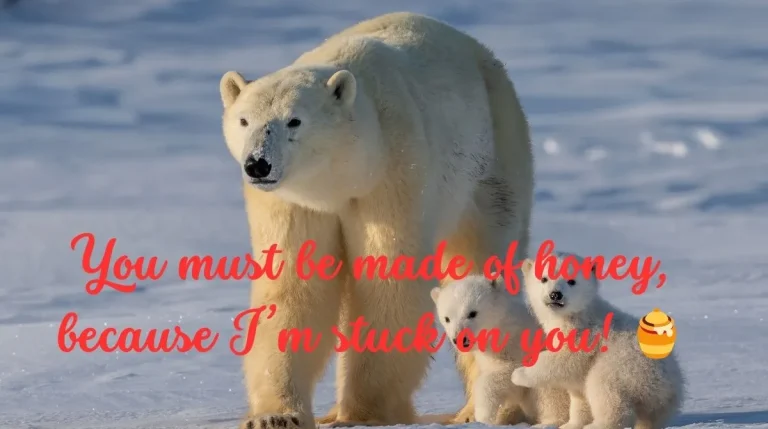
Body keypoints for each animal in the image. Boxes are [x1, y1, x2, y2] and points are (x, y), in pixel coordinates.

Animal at [218, 12, 534, 429]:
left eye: (294, 121)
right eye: (243, 120)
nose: (258, 164)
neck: (342, 177)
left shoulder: (393, 172)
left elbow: (388, 280)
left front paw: (362, 414)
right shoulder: (293, 203)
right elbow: (293, 288)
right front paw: (275, 415)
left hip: (492, 162)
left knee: (481, 258)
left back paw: (483, 410)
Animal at [431, 273, 570, 427]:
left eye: (472, 313)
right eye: (447, 318)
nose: (459, 339)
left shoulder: (518, 347)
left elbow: (508, 375)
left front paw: (484, 415)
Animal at [512, 252, 685, 429]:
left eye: (571, 281)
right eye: (544, 278)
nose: (555, 294)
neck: (576, 315)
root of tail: (669, 385)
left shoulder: (584, 334)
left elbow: (564, 359)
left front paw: (518, 374)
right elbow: (578, 394)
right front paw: (571, 424)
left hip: (627, 366)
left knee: (603, 388)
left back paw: (598, 424)